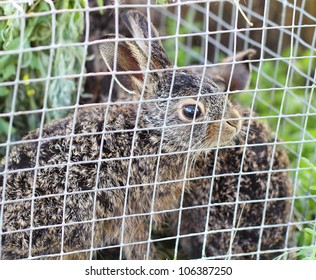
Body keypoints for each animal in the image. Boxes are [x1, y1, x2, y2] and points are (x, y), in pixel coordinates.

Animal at [0, 10, 242, 260]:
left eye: (214, 84)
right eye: (191, 111)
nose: (235, 122)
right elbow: (137, 245)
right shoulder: (134, 213)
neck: (153, 135)